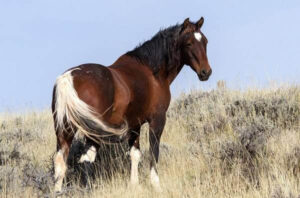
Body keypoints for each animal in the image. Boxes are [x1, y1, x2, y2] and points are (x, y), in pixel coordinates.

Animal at [51, 17, 211, 192]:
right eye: (189, 43)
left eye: (205, 41)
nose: (206, 72)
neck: (152, 72)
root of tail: (67, 79)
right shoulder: (157, 120)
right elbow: (153, 152)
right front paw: (156, 185)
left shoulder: (135, 125)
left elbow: (135, 154)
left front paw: (134, 185)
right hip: (92, 132)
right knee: (87, 158)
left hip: (65, 130)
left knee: (60, 161)